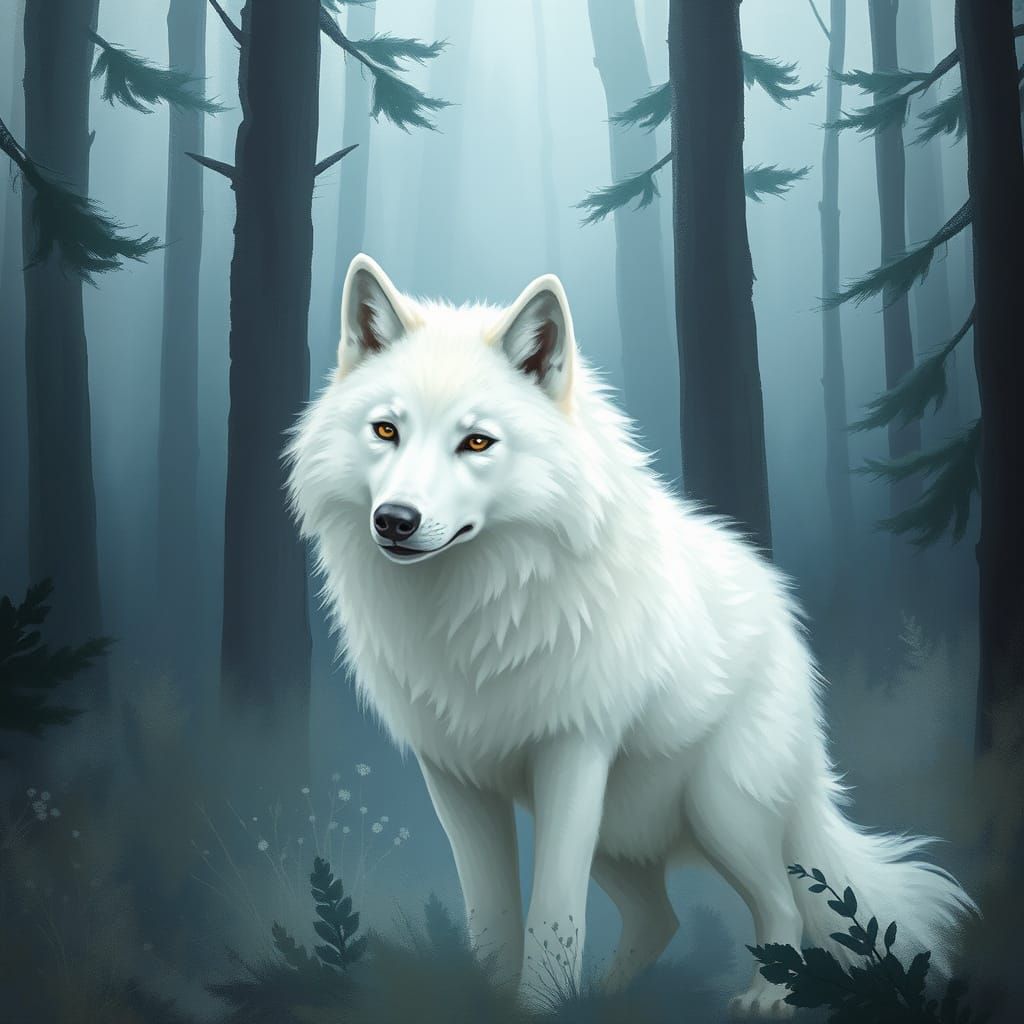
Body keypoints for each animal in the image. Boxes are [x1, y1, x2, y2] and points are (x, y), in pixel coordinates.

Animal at [287, 254, 976, 1017]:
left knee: (778, 902)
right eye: (386, 431)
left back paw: (765, 997)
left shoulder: (573, 753)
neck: (472, 610)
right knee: (660, 918)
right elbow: (492, 915)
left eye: (476, 442)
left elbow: (553, 910)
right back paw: (606, 995)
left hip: (718, 811)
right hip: (620, 833)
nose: (395, 520)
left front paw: (538, 1008)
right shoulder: (455, 777)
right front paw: (495, 999)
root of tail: (785, 615)